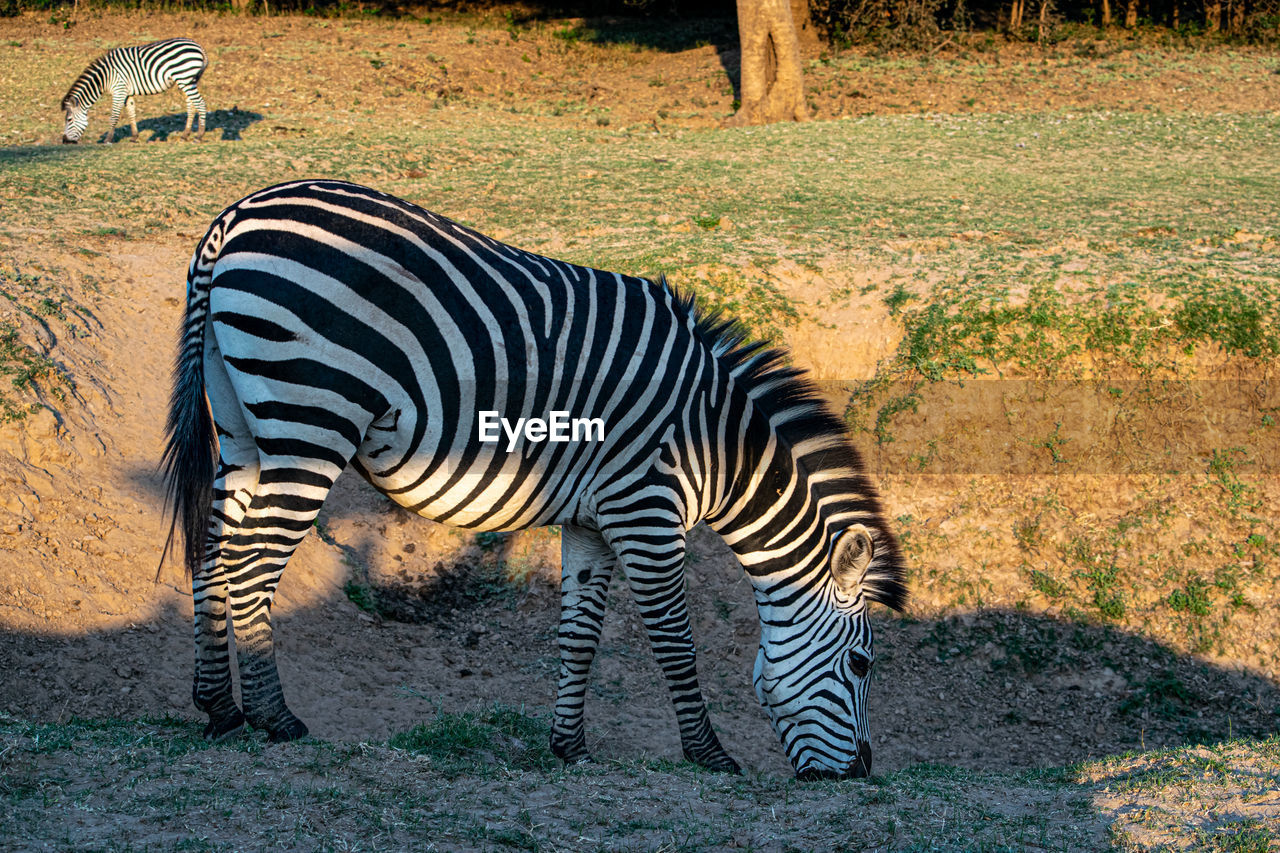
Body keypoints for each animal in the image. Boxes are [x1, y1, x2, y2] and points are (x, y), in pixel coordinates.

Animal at [61, 37, 207, 144]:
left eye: (69, 120)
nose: (64, 141)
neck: (105, 77)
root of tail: (199, 47)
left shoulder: (119, 90)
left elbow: (114, 116)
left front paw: (107, 140)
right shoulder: (127, 93)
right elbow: (131, 113)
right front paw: (134, 137)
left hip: (185, 79)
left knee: (200, 103)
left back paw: (199, 136)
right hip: (189, 81)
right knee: (191, 105)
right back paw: (185, 135)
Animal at [162, 179, 911, 778]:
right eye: (861, 665)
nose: (861, 773)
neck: (715, 443)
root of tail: (235, 218)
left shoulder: (592, 519)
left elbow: (579, 634)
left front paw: (569, 747)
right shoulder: (646, 508)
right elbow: (674, 636)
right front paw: (710, 755)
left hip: (244, 430)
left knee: (212, 553)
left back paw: (219, 707)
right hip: (313, 419)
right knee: (252, 563)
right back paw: (275, 717)